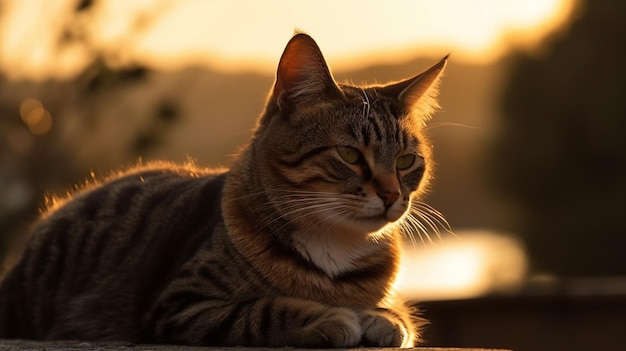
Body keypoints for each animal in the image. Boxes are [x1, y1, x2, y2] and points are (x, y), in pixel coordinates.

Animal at [1, 33, 448, 350]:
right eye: (350, 154)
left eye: (406, 161)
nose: (392, 196)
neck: (336, 246)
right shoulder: (180, 304)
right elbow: (264, 309)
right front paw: (331, 316)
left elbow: (396, 312)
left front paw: (382, 316)